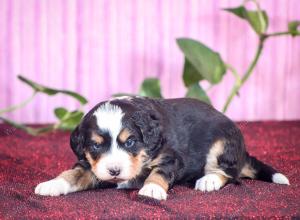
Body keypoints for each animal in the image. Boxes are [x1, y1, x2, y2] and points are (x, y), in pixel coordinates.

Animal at [34, 97, 290, 200]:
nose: (114, 171)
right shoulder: (90, 165)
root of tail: (243, 152)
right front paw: (51, 184)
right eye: (95, 145)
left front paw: (151, 189)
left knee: (229, 173)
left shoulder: (170, 157)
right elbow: (72, 174)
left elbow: (159, 173)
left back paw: (208, 180)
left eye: (130, 142)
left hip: (221, 145)